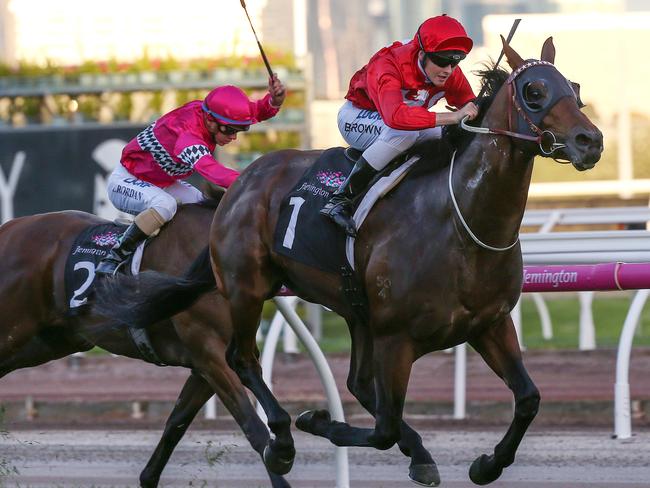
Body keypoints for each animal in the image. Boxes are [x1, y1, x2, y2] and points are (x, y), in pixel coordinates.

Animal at [0, 199, 288, 488]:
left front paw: (148, 477)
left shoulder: (206, 364)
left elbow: (176, 423)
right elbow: (252, 426)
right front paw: (280, 459)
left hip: (46, 342)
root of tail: (8, 230)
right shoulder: (210, 354)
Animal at [92, 39, 604, 488]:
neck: (460, 223)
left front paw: (485, 465)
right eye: (533, 91)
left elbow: (528, 399)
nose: (590, 141)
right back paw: (282, 440)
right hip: (245, 286)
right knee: (242, 358)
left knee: (355, 382)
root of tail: (241, 182)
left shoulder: (489, 324)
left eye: (575, 87)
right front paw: (317, 421)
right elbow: (384, 428)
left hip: (353, 307)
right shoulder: (397, 337)